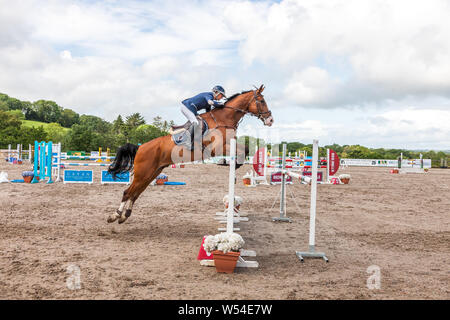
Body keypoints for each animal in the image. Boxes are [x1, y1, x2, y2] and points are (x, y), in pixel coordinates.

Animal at [107, 86, 272, 224]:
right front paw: (227, 163)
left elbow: (245, 149)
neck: (223, 118)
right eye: (262, 101)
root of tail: (140, 147)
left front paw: (232, 165)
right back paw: (115, 215)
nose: (270, 120)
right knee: (128, 192)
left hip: (151, 173)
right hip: (143, 173)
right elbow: (242, 150)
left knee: (135, 193)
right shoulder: (217, 148)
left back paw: (124, 215)